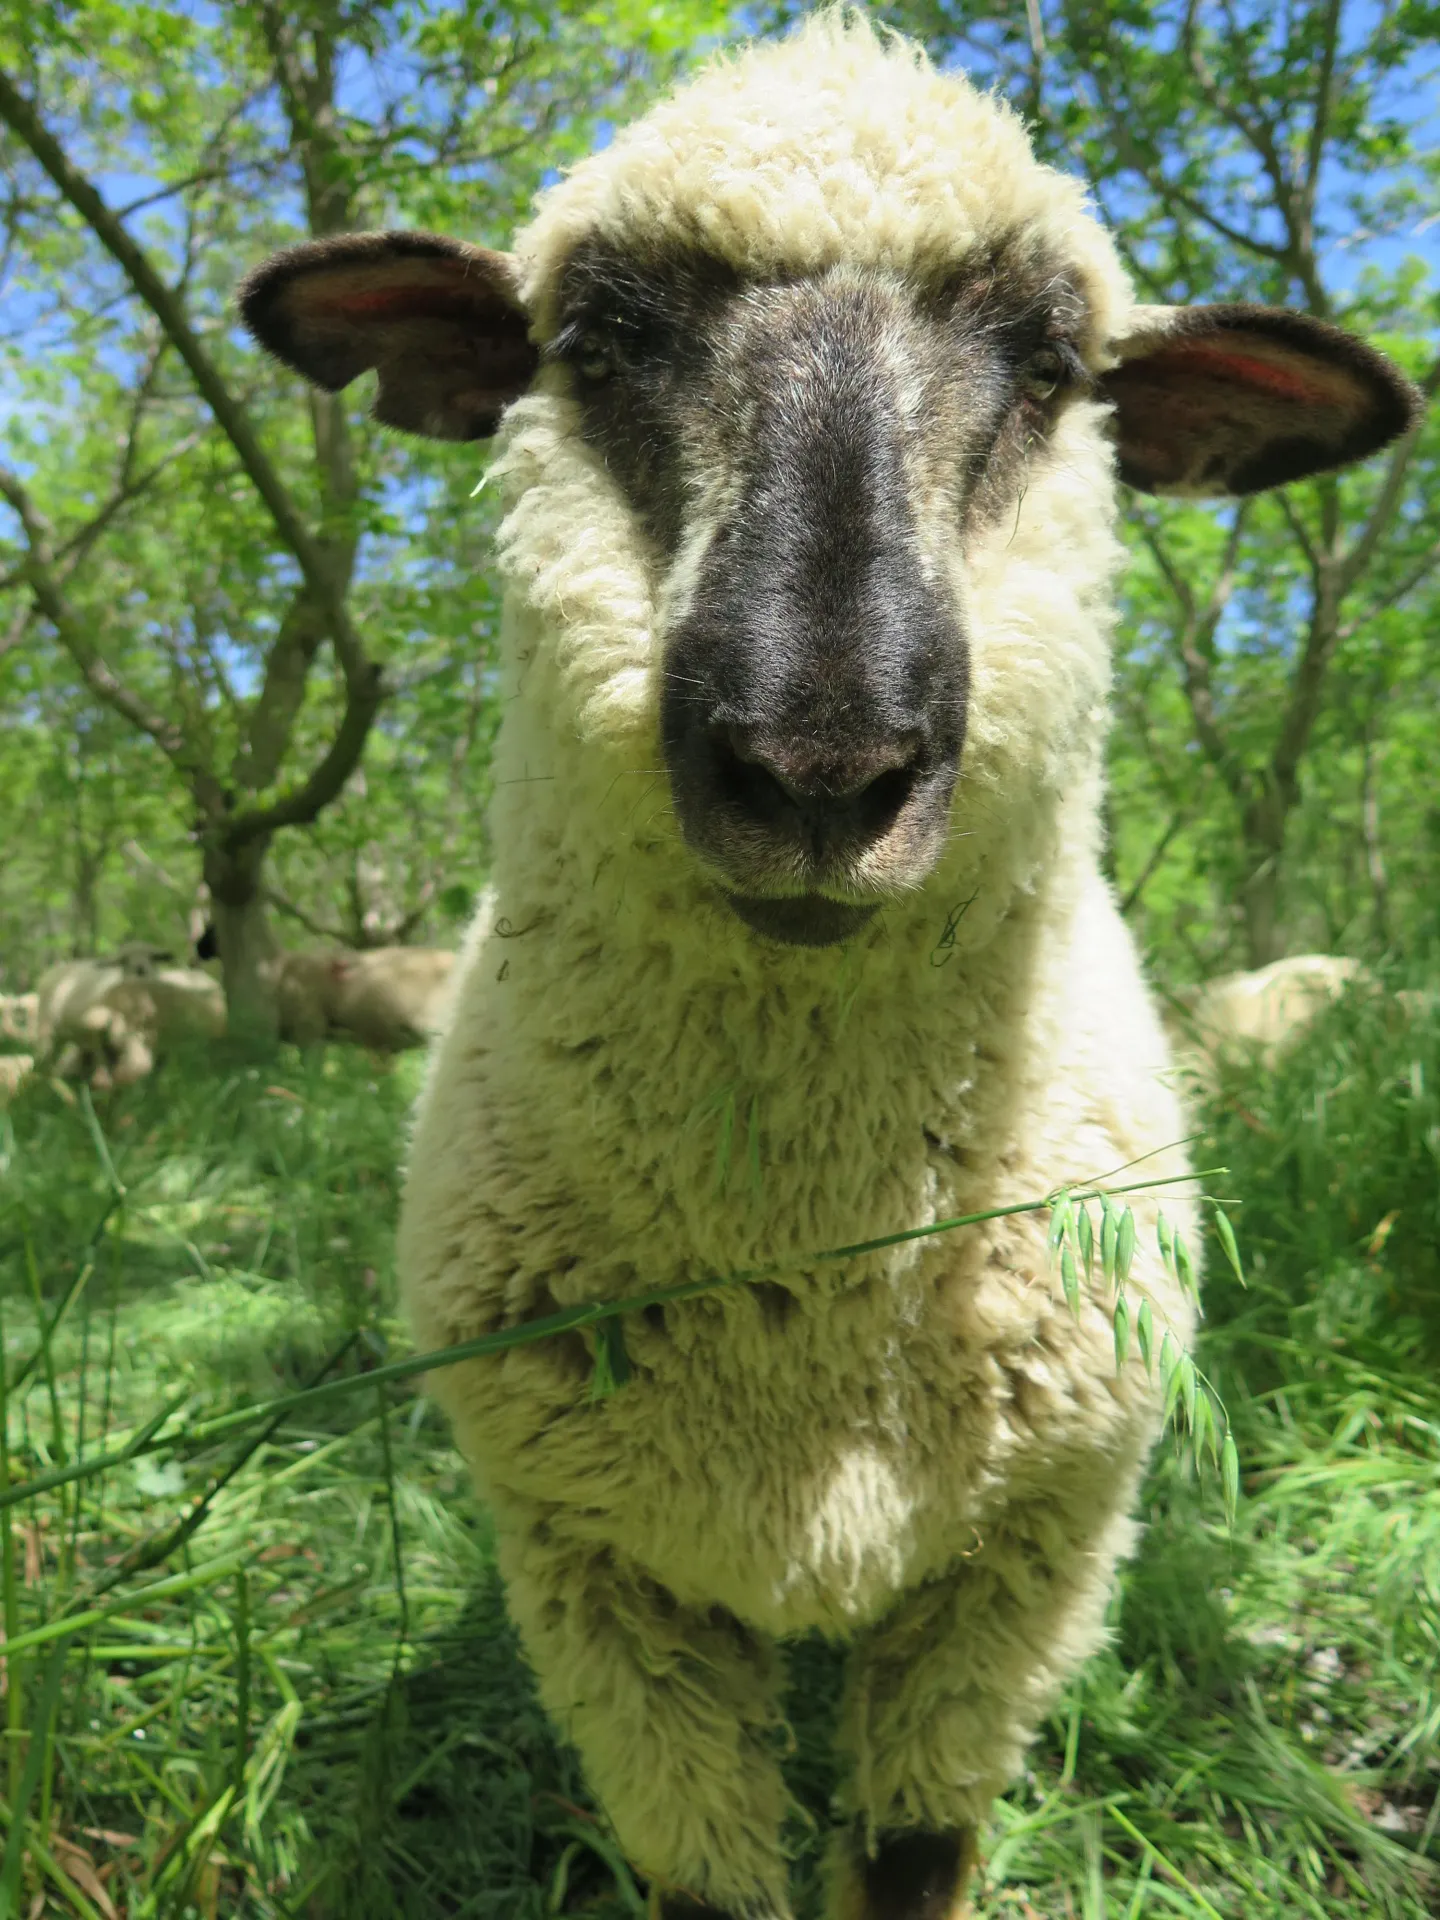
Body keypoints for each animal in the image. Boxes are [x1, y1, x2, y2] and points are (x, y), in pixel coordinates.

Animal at [241, 18, 1420, 1916]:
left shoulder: (1024, 1568)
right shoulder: (599, 1586)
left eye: (1053, 364)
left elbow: (914, 1855)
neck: (809, 1287)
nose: (817, 763)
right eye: (594, 342)